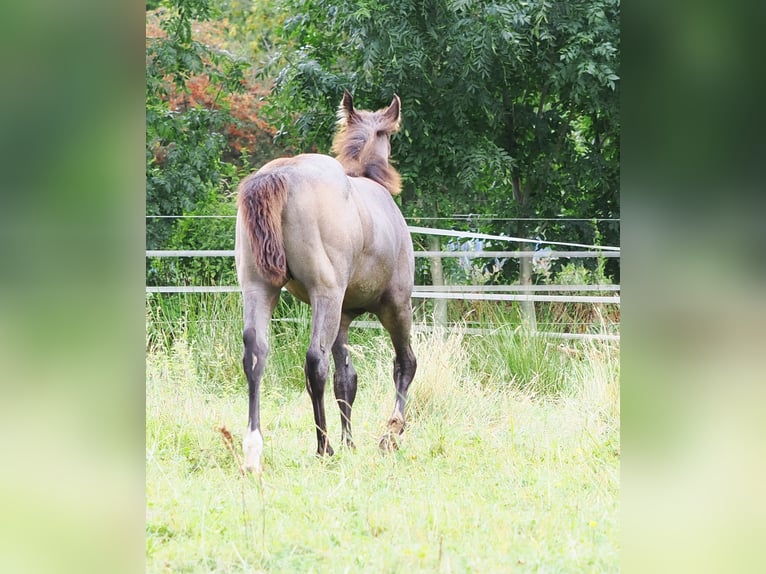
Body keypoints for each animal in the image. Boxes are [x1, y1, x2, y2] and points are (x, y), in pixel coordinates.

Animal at [235, 91, 417, 473]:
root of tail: (280, 176)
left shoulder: (344, 316)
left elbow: (345, 380)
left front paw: (351, 441)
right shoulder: (395, 304)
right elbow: (403, 364)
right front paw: (391, 431)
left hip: (259, 288)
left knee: (256, 355)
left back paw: (254, 449)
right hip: (328, 295)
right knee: (315, 361)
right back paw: (323, 446)